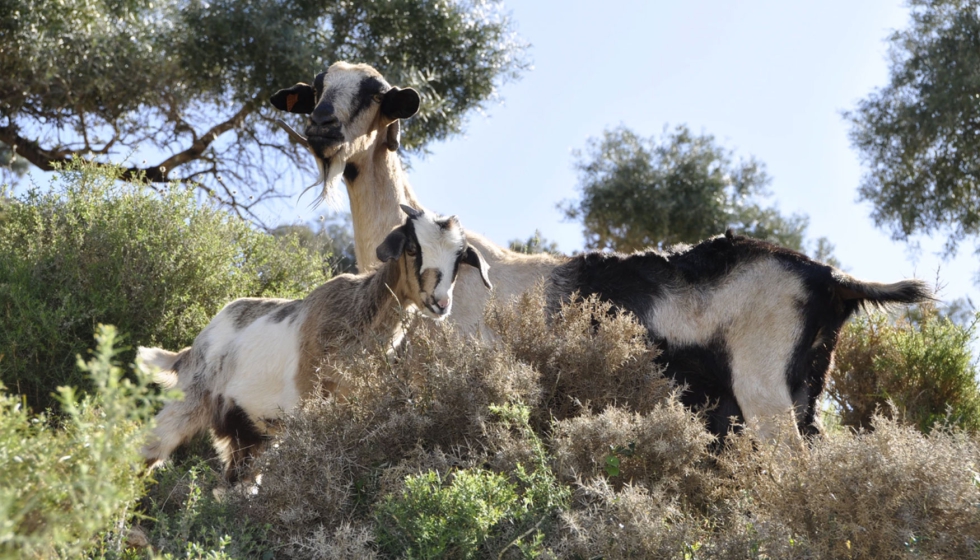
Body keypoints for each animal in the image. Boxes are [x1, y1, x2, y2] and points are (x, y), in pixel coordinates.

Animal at [138, 207, 490, 482]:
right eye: (413, 248)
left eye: (459, 258)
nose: (440, 303)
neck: (357, 317)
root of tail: (192, 348)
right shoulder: (306, 407)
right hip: (190, 402)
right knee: (147, 452)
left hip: (248, 430)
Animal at [272, 63, 932, 444]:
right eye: (318, 90)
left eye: (378, 96)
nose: (324, 129)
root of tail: (833, 280)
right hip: (803, 399)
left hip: (766, 398)